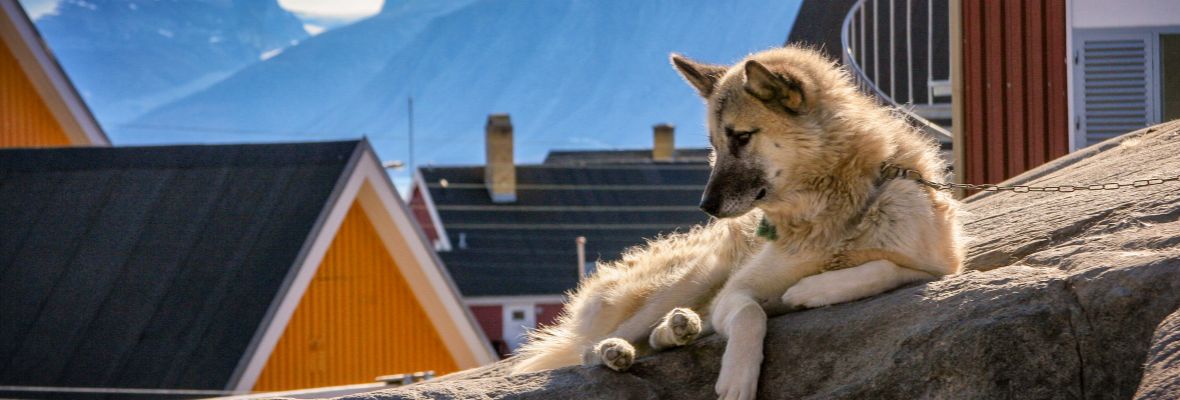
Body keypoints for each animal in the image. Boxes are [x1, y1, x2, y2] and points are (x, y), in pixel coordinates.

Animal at [512, 45, 962, 398]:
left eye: (741, 137)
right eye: (713, 144)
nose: (705, 206)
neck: (832, 209)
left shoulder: (942, 266)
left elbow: (886, 267)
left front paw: (812, 290)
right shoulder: (735, 292)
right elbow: (749, 314)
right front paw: (738, 378)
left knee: (663, 334)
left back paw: (680, 327)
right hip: (694, 276)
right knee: (592, 349)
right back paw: (618, 349)